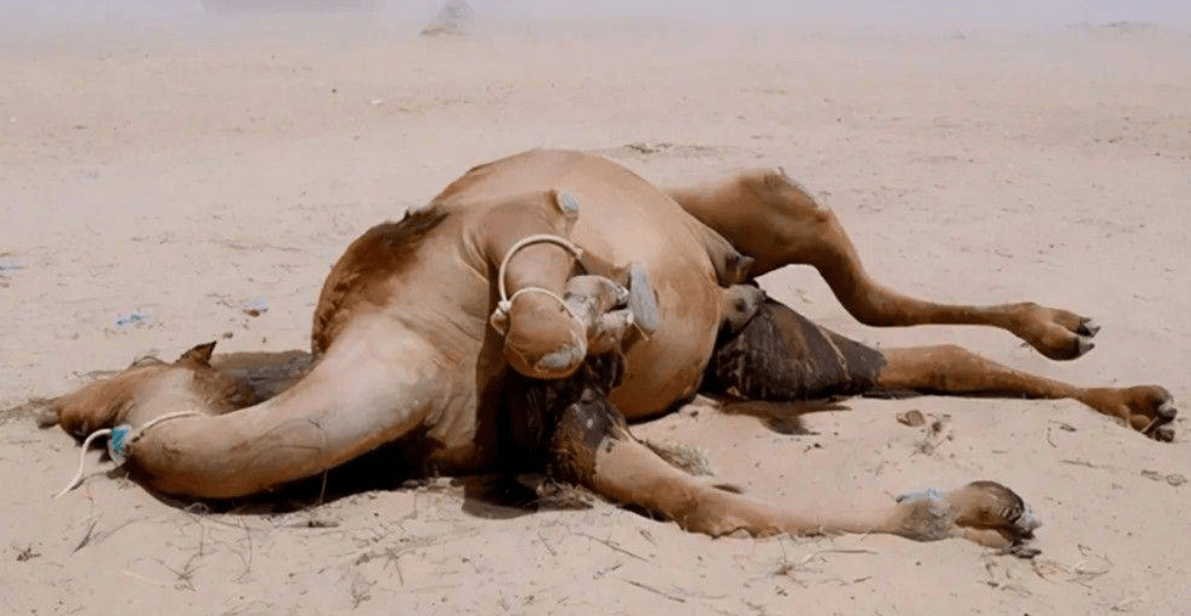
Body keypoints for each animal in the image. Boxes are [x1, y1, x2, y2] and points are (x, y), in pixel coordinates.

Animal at [41, 147, 1176, 552]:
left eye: (108, 384)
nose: (54, 406)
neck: (409, 350)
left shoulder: (500, 230)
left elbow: (543, 309)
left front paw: (605, 304)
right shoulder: (562, 433)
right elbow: (711, 509)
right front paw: (983, 511)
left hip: (761, 201)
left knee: (873, 287)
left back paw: (1077, 338)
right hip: (776, 348)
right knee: (925, 358)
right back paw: (1130, 397)